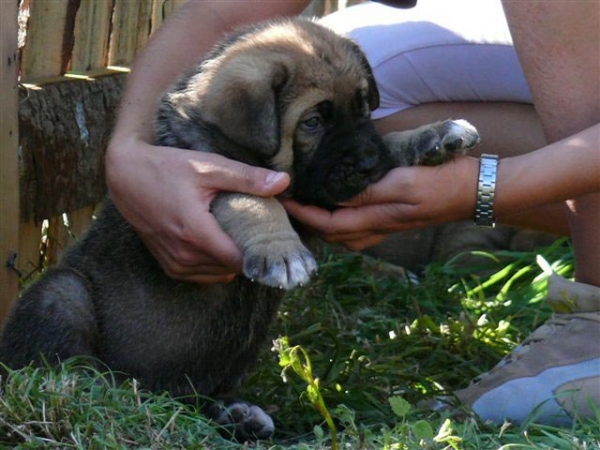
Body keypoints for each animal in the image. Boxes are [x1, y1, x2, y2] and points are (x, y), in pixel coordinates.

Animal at [0, 17, 478, 440]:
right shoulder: (205, 181)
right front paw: (281, 251)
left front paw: (436, 134)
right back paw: (114, 391)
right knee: (68, 362)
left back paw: (237, 415)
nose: (367, 164)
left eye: (363, 107)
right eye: (313, 122)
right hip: (63, 295)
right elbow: (255, 201)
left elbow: (391, 142)